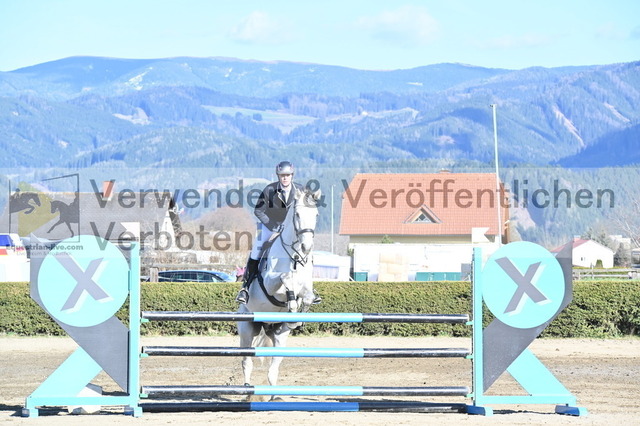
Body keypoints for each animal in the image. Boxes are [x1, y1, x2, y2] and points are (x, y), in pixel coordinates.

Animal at [237, 187, 321, 398]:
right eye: (297, 214)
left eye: (316, 215)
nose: (306, 248)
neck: (294, 257)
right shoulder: (270, 283)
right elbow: (285, 277)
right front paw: (291, 300)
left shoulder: (306, 288)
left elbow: (307, 297)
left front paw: (298, 315)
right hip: (246, 329)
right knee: (246, 361)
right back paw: (248, 391)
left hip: (280, 333)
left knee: (273, 367)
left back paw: (275, 395)